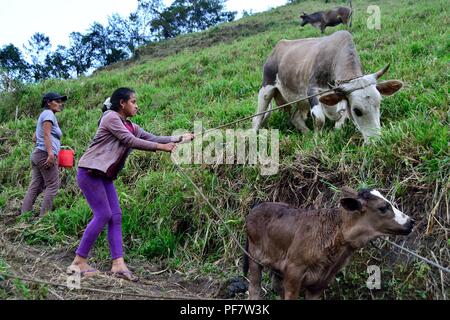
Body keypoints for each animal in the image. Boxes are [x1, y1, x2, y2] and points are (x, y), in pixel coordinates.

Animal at [243, 186, 414, 302]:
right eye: (383, 207)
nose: (411, 221)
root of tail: (257, 206)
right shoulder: (293, 273)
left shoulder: (320, 283)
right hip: (254, 258)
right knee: (254, 289)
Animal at [253, 31, 404, 144]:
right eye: (357, 110)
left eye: (379, 104)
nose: (376, 141)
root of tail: (278, 47)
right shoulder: (312, 90)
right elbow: (319, 119)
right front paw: (317, 140)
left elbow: (340, 121)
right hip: (266, 89)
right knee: (256, 119)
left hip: (300, 100)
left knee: (295, 118)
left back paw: (307, 134)